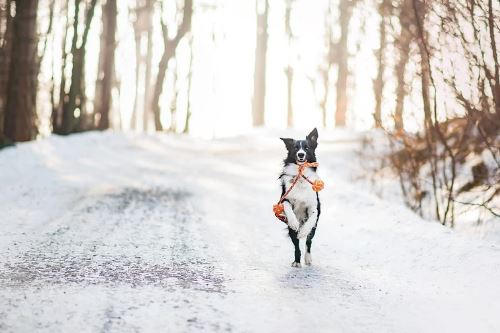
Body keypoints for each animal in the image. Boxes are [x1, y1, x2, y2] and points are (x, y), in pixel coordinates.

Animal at [282, 127, 320, 268]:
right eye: (295, 148)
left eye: (307, 148)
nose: (301, 154)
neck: (301, 177)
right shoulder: (285, 198)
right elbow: (287, 206)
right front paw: (294, 222)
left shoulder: (314, 205)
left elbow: (313, 216)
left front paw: (303, 231)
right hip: (291, 231)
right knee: (296, 245)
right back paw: (297, 261)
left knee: (308, 242)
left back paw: (307, 258)